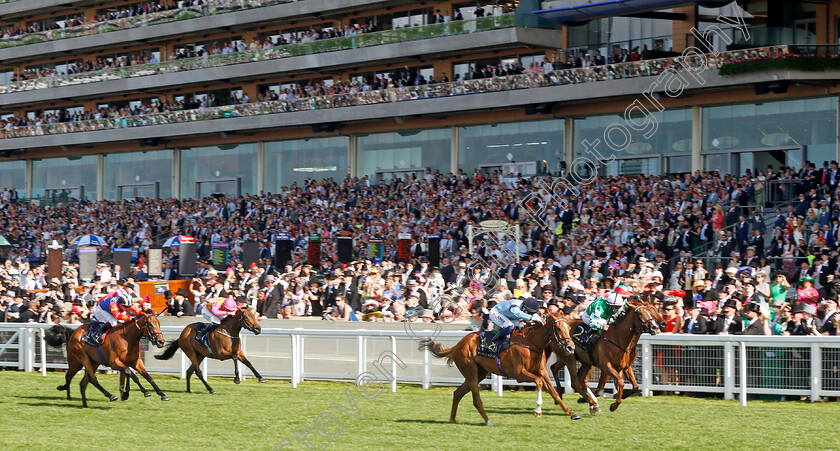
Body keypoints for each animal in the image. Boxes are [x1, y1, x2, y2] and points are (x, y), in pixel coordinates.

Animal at [418, 314, 576, 428]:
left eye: (569, 327)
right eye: (559, 328)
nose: (571, 347)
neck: (531, 343)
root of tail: (457, 345)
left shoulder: (542, 371)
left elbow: (554, 392)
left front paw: (571, 413)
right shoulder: (519, 374)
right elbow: (539, 383)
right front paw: (537, 411)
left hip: (478, 374)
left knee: (457, 393)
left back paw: (452, 420)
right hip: (471, 372)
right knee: (476, 400)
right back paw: (488, 422)